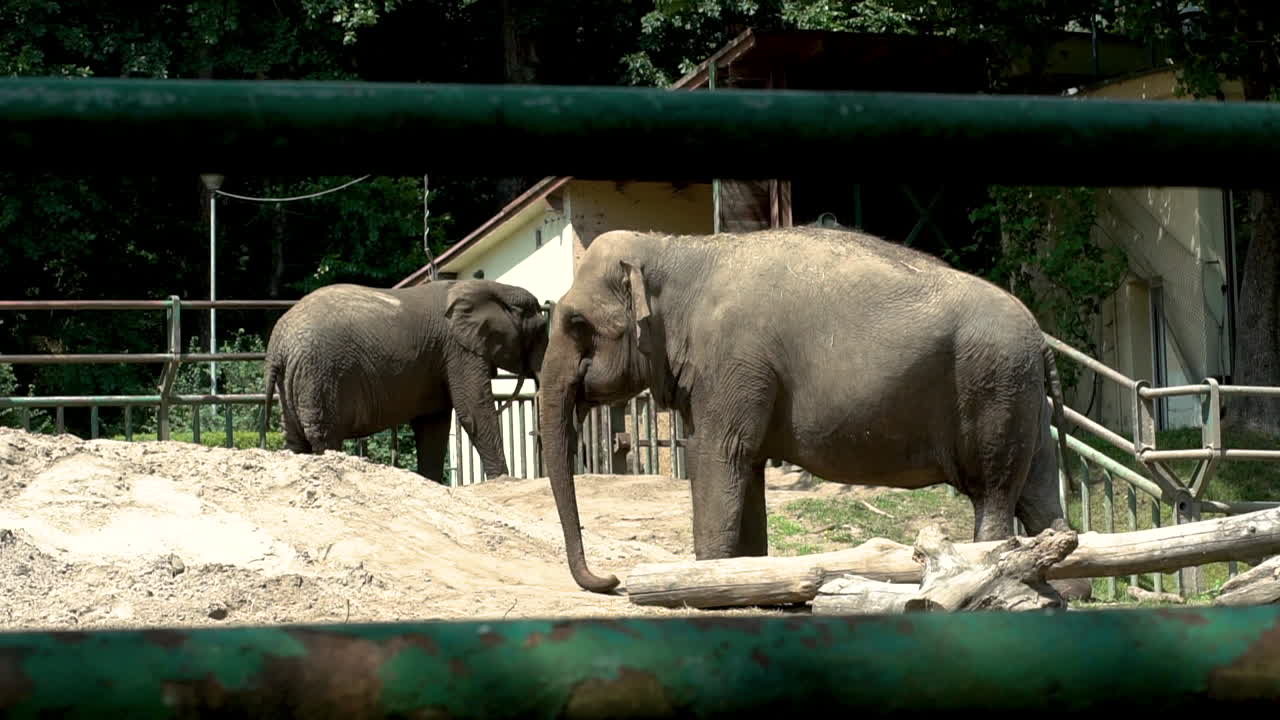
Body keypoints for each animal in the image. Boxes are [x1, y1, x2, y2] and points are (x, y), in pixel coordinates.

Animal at [264, 278, 548, 483]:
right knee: (324, 436)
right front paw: (505, 479)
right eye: (540, 332)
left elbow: (432, 425)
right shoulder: (458, 349)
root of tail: (277, 346)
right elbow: (473, 410)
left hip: (297, 378)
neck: (493, 287)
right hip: (319, 374)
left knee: (296, 437)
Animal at [537, 225, 1077, 594]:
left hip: (994, 388)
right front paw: (745, 580)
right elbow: (745, 465)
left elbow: (717, 454)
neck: (676, 250)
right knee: (1039, 494)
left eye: (577, 323)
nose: (611, 580)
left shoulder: (732, 361)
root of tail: (1040, 337)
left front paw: (704, 578)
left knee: (994, 494)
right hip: (1023, 398)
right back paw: (1063, 585)